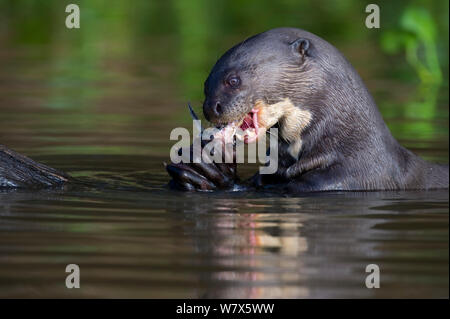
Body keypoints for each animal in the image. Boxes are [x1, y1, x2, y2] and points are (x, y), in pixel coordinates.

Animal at [166, 27, 450, 192]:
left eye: (233, 80)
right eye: (206, 84)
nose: (210, 108)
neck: (348, 146)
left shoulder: (345, 180)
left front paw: (212, 172)